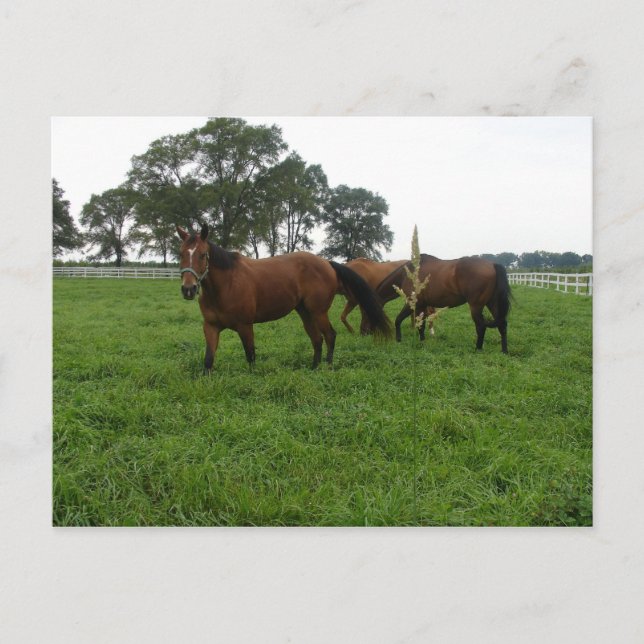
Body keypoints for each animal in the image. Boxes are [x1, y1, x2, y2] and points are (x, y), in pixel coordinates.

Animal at [176, 224, 392, 371]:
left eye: (202, 255)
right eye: (181, 254)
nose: (188, 289)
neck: (226, 285)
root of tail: (327, 263)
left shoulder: (245, 326)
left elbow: (251, 356)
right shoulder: (211, 327)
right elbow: (208, 360)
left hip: (318, 312)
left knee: (330, 336)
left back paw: (328, 367)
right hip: (305, 312)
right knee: (317, 339)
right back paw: (313, 368)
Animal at [376, 254, 512, 353]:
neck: (407, 275)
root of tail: (492, 265)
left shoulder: (412, 304)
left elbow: (398, 320)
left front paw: (398, 339)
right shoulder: (421, 306)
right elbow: (421, 326)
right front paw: (422, 342)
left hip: (476, 306)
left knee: (481, 326)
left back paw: (478, 349)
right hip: (492, 303)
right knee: (502, 325)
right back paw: (504, 351)